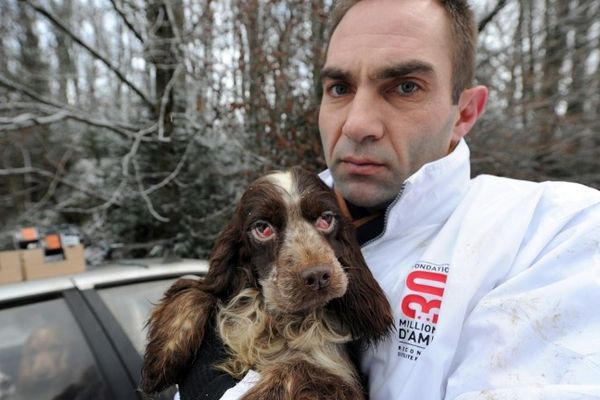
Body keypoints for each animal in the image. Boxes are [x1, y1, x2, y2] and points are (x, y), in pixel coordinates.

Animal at [140, 167, 394, 398]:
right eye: (262, 228)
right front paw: (161, 359)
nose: (318, 277)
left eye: (326, 219)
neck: (282, 321)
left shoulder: (344, 381)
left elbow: (299, 367)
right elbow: (197, 291)